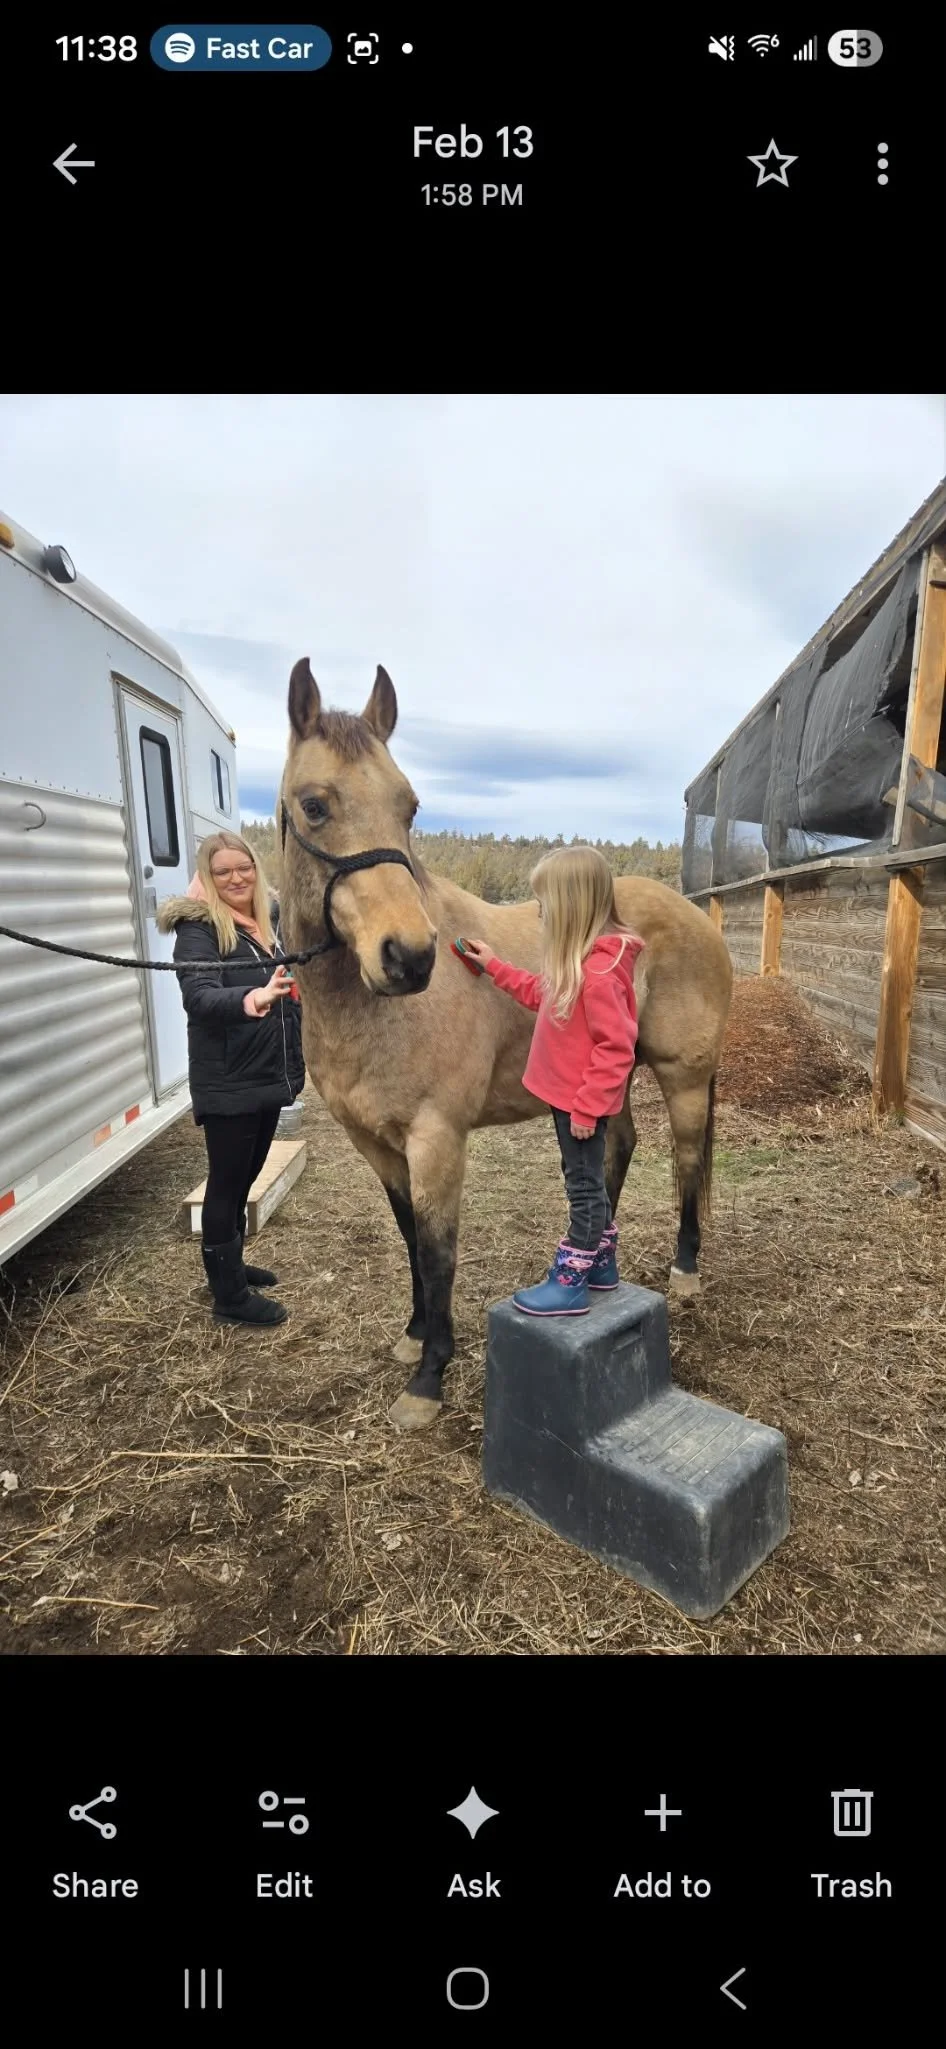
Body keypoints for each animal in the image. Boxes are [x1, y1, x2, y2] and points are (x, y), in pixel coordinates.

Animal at [278, 659, 733, 1432]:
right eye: (314, 805)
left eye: (409, 807)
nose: (410, 957)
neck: (371, 1011)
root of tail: (699, 920)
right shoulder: (377, 1144)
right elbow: (409, 1236)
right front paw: (414, 1336)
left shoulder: (436, 1138)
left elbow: (438, 1253)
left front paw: (429, 1379)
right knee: (618, 1146)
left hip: (683, 1077)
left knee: (688, 1162)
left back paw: (686, 1271)